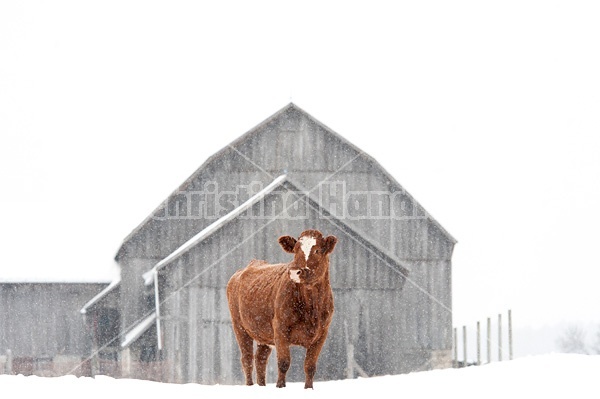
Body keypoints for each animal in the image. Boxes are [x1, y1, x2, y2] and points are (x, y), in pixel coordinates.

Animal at [226, 230, 338, 390]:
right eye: (295, 250)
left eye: (317, 250)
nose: (295, 272)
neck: (311, 306)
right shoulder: (280, 328)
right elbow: (284, 362)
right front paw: (280, 387)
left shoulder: (322, 333)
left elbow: (310, 366)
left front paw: (308, 388)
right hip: (239, 326)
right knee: (247, 359)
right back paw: (250, 385)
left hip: (263, 334)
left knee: (260, 359)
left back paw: (262, 385)